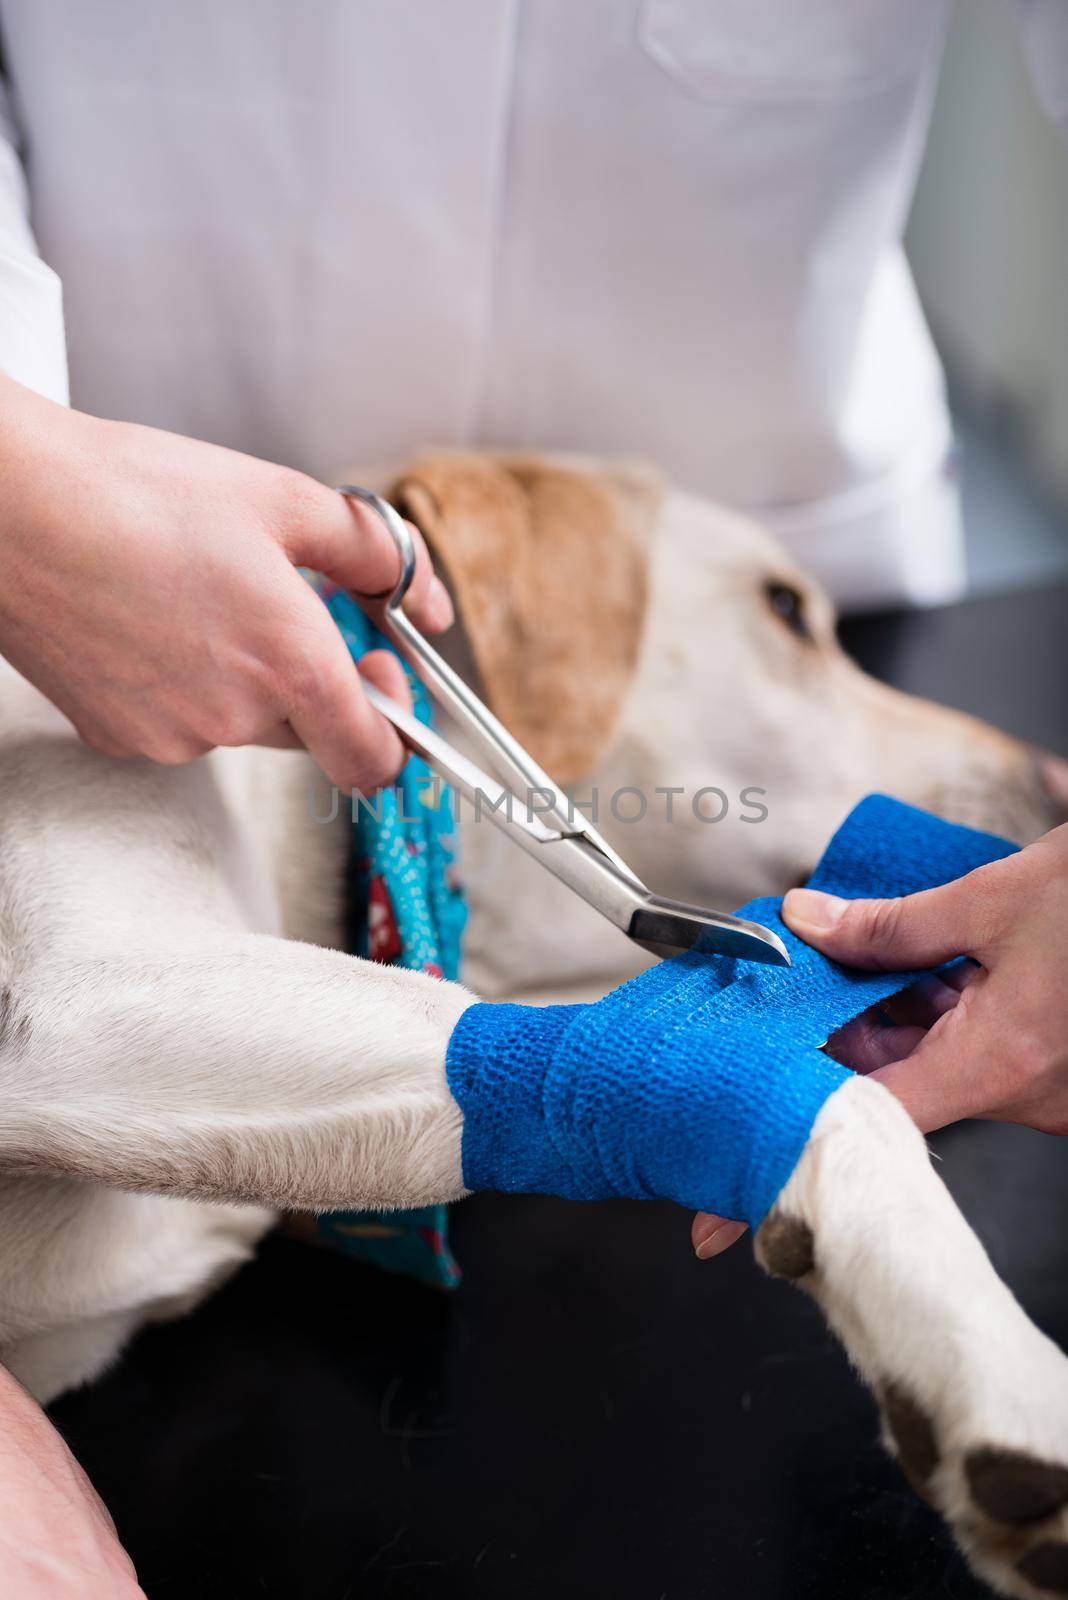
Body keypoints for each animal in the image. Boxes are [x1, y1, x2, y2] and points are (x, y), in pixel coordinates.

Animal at [0, 454, 1061, 1600]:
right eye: (786, 611)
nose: (1057, 780)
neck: (387, 860)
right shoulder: (78, 997)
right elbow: (843, 1109)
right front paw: (990, 1367)